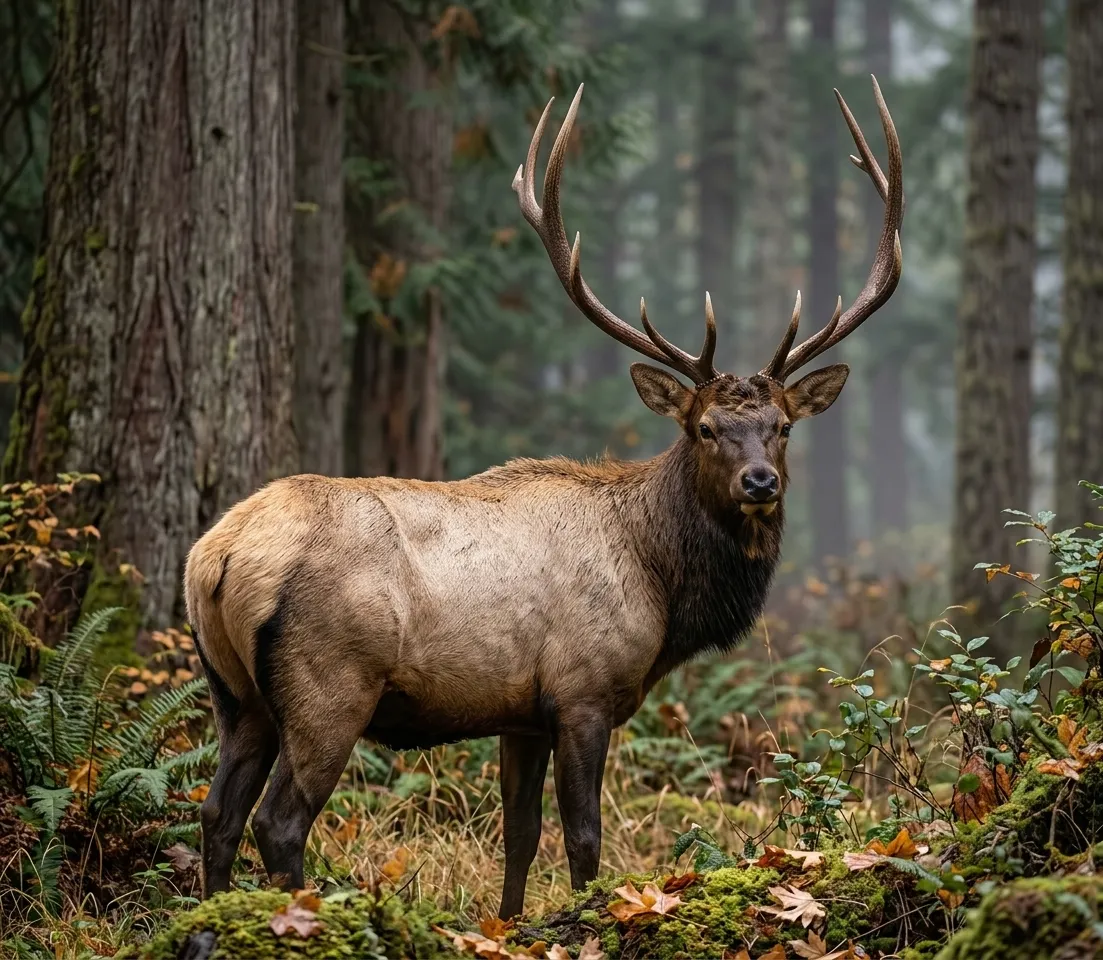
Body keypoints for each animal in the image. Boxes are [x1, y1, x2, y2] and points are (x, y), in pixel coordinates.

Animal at [185, 75, 902, 920]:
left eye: (781, 427)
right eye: (704, 428)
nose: (759, 482)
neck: (662, 584)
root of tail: (218, 555)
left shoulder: (519, 712)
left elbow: (520, 835)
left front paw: (509, 924)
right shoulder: (582, 690)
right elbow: (584, 838)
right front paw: (590, 917)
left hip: (233, 694)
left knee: (216, 813)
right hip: (329, 681)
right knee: (280, 821)